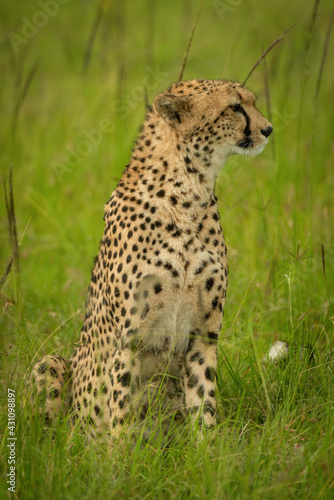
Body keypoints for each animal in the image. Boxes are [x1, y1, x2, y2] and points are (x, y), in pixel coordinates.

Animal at [30, 79, 272, 438]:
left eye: (252, 102)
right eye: (234, 107)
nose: (268, 129)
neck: (189, 192)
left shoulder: (204, 332)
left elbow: (203, 396)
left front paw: (208, 447)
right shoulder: (131, 338)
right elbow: (120, 402)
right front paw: (117, 452)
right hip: (52, 366)